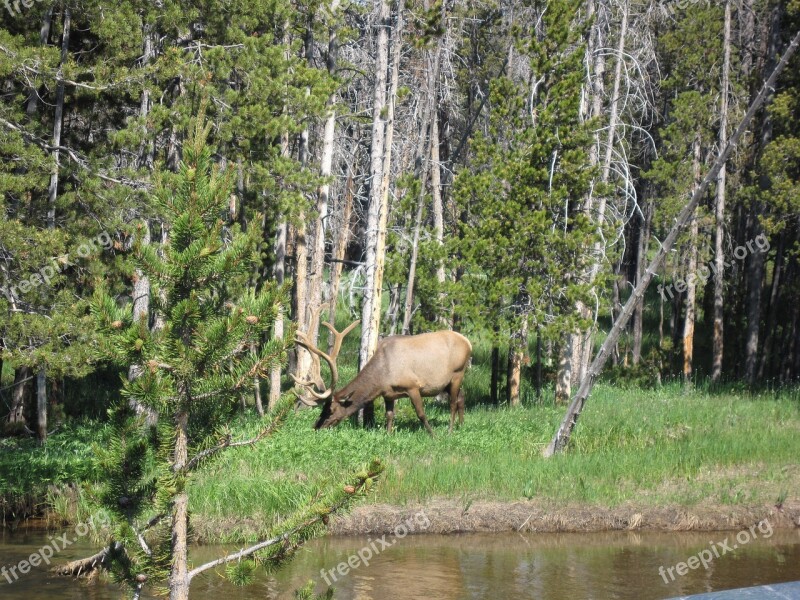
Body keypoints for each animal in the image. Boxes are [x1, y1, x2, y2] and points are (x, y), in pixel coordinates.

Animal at [292, 322, 468, 434]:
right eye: (322, 409)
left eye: (331, 410)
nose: (316, 427)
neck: (382, 377)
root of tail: (468, 342)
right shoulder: (388, 393)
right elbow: (389, 415)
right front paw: (388, 435)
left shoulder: (412, 386)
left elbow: (421, 414)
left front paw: (433, 435)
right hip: (448, 382)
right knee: (461, 397)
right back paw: (461, 426)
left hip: (458, 373)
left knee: (453, 402)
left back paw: (450, 430)